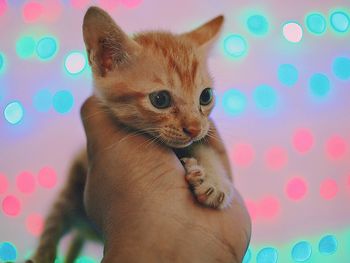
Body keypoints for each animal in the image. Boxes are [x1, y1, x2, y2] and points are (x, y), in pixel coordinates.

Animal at [28, 6, 235, 263]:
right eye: (160, 99)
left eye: (206, 96)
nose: (195, 129)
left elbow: (204, 148)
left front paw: (215, 180)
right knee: (56, 220)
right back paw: (42, 253)